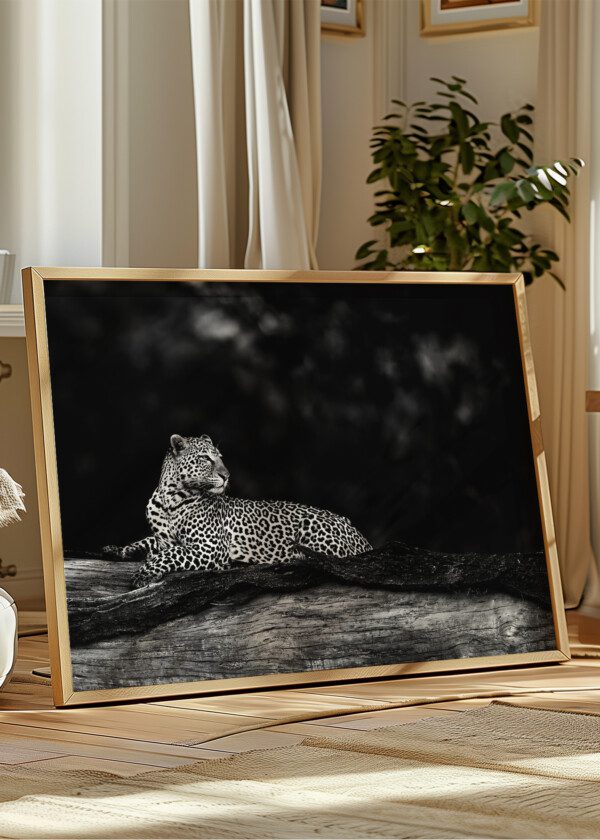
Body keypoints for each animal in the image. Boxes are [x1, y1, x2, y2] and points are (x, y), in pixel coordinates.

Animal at [103, 434, 372, 589]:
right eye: (205, 458)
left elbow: (169, 554)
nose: (226, 475)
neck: (170, 498)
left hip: (312, 526)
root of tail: (361, 537)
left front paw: (143, 573)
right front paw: (118, 549)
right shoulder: (164, 538)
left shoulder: (209, 548)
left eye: (220, 457)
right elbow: (149, 542)